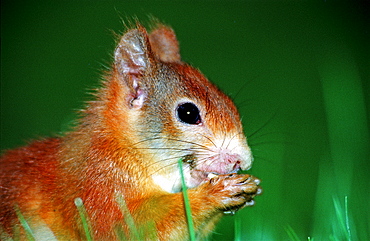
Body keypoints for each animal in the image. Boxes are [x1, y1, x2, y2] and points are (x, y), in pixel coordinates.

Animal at [0, 23, 260, 241]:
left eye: (231, 104)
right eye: (188, 113)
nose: (242, 160)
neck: (124, 147)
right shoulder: (97, 189)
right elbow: (132, 227)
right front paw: (215, 194)